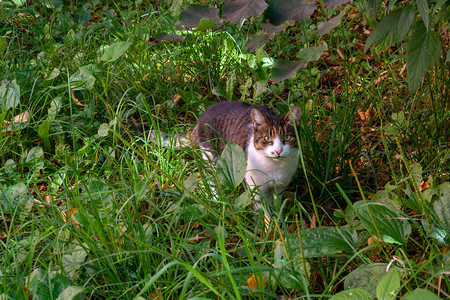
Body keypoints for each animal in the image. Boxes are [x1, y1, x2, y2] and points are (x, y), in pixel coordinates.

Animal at [149, 102, 302, 212]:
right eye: (267, 138)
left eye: (287, 138)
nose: (278, 151)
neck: (274, 169)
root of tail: (202, 117)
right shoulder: (256, 188)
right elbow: (262, 211)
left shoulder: (280, 187)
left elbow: (276, 206)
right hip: (211, 156)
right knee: (211, 179)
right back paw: (216, 199)